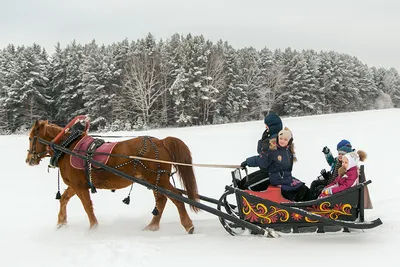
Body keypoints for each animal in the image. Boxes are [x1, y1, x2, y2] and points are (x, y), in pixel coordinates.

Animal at [25, 119, 200, 234]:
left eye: (30, 138)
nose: (28, 160)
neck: (68, 148)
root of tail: (161, 141)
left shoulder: (80, 186)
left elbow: (87, 206)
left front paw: (93, 228)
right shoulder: (75, 185)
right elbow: (64, 199)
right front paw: (61, 222)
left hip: (158, 179)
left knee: (175, 198)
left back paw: (187, 224)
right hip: (155, 180)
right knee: (162, 200)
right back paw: (153, 226)